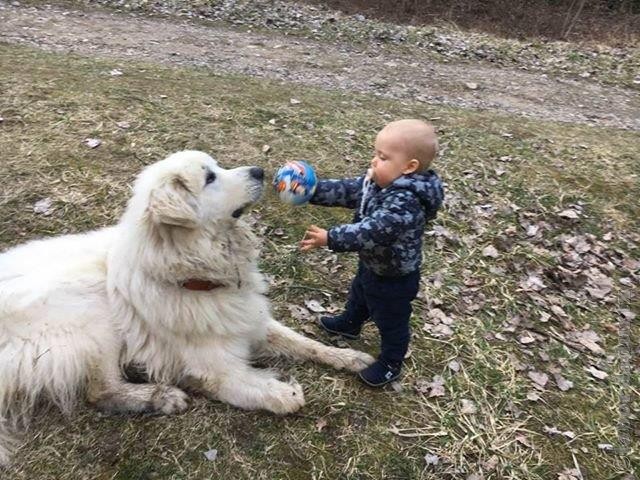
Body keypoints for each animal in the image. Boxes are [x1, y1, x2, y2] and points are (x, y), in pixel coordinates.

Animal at [0, 151, 376, 464]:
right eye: (209, 178)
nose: (260, 170)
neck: (195, 277)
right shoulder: (213, 369)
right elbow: (254, 389)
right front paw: (284, 392)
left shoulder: (250, 320)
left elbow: (304, 343)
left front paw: (349, 358)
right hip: (95, 313)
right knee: (99, 391)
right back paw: (162, 397)